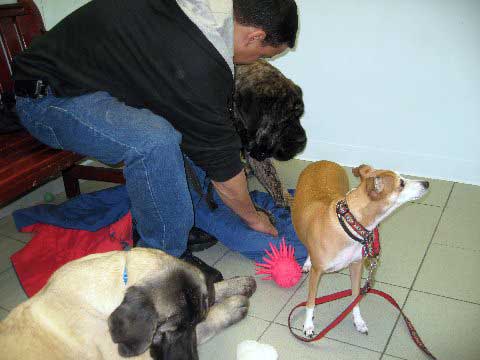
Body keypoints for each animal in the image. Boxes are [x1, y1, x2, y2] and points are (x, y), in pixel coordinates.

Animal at [290, 162, 430, 336]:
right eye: (401, 183)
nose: (426, 183)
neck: (350, 223)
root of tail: (322, 161)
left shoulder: (356, 266)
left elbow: (355, 296)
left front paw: (358, 320)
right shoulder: (317, 273)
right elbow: (311, 301)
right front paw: (308, 325)